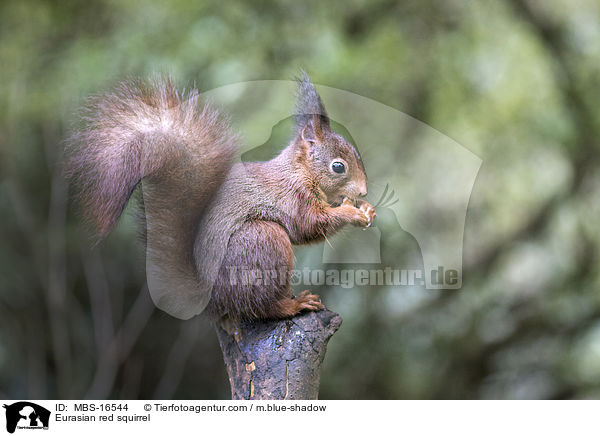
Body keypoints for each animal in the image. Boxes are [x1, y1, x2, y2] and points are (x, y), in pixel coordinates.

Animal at [65, 74, 376, 320]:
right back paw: (293, 304)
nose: (363, 191)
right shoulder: (292, 196)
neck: (299, 170)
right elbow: (308, 226)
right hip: (262, 242)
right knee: (261, 306)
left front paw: (368, 210)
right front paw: (352, 213)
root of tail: (211, 296)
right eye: (338, 166)